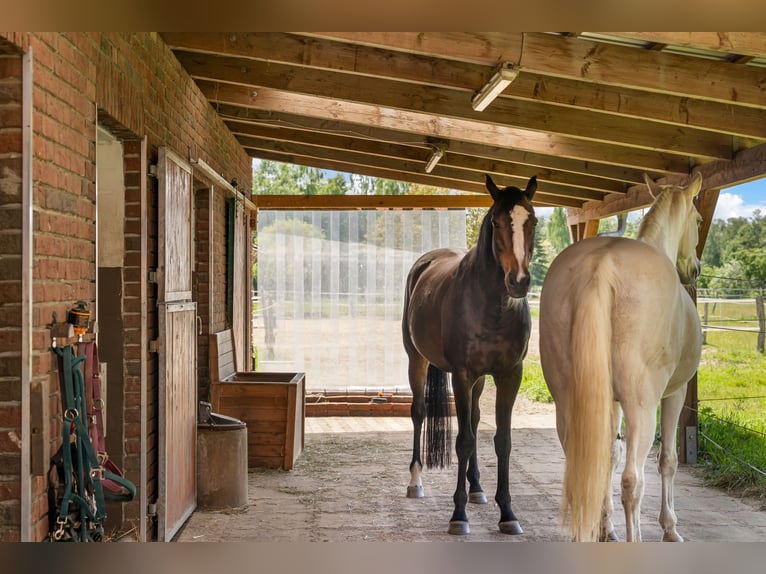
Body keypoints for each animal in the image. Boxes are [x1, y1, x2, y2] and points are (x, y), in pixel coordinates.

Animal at [402, 174, 538, 535]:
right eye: (496, 222)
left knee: (475, 420)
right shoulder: (462, 375)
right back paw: (415, 482)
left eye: (532, 221)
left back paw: (476, 487)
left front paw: (508, 513)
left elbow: (501, 440)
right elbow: (462, 440)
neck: (492, 307)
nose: (519, 282)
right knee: (419, 412)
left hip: (479, 380)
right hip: (417, 360)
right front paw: (458, 515)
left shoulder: (509, 374)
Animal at [538, 173, 704, 542]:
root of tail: (600, 267)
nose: (694, 269)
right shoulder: (674, 394)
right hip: (642, 405)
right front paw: (670, 528)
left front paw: (605, 526)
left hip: (568, 400)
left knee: (583, 464)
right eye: (700, 220)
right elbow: (667, 460)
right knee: (633, 480)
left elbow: (609, 456)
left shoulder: (607, 399)